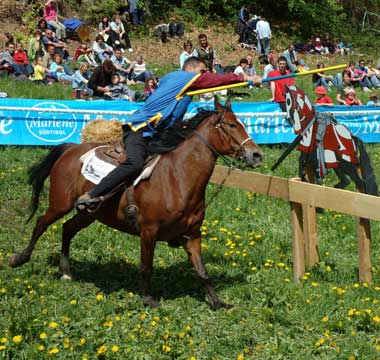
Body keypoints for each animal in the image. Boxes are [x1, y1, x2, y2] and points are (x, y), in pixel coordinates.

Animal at [10, 100, 262, 308]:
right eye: (231, 125)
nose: (256, 155)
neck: (178, 177)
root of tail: (70, 148)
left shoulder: (193, 235)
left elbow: (202, 271)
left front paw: (217, 302)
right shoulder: (149, 231)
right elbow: (146, 268)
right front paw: (148, 299)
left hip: (90, 214)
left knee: (67, 228)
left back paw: (66, 271)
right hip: (59, 204)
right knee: (41, 223)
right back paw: (20, 259)